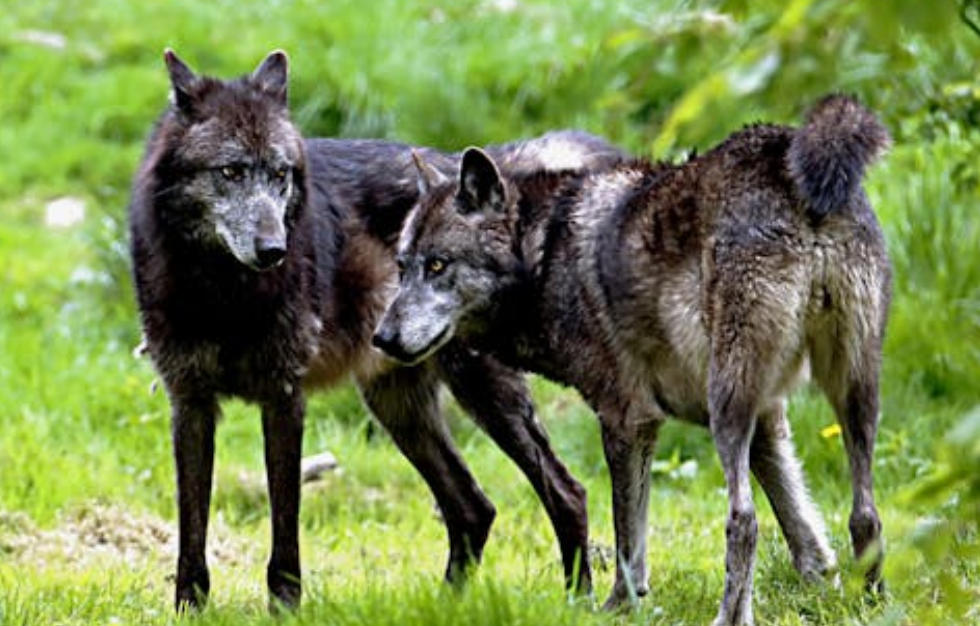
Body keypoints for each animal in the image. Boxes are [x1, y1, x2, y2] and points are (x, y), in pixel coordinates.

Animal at [128, 49, 624, 612]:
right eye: (231, 171)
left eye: (279, 175)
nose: (274, 249)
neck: (220, 294)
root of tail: (468, 172)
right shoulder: (189, 403)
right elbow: (192, 524)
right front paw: (189, 608)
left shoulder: (284, 397)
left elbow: (285, 520)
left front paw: (285, 608)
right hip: (396, 404)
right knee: (474, 507)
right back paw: (446, 606)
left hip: (479, 392)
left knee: (567, 493)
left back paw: (578, 602)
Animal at [375, 95, 891, 625]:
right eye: (401, 268)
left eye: (438, 265)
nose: (382, 338)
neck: (543, 255)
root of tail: (780, 155)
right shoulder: (766, 418)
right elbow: (803, 529)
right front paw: (822, 589)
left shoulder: (628, 418)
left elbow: (629, 539)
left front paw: (617, 606)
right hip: (854, 391)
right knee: (865, 513)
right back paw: (872, 601)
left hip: (728, 408)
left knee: (743, 520)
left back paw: (727, 618)